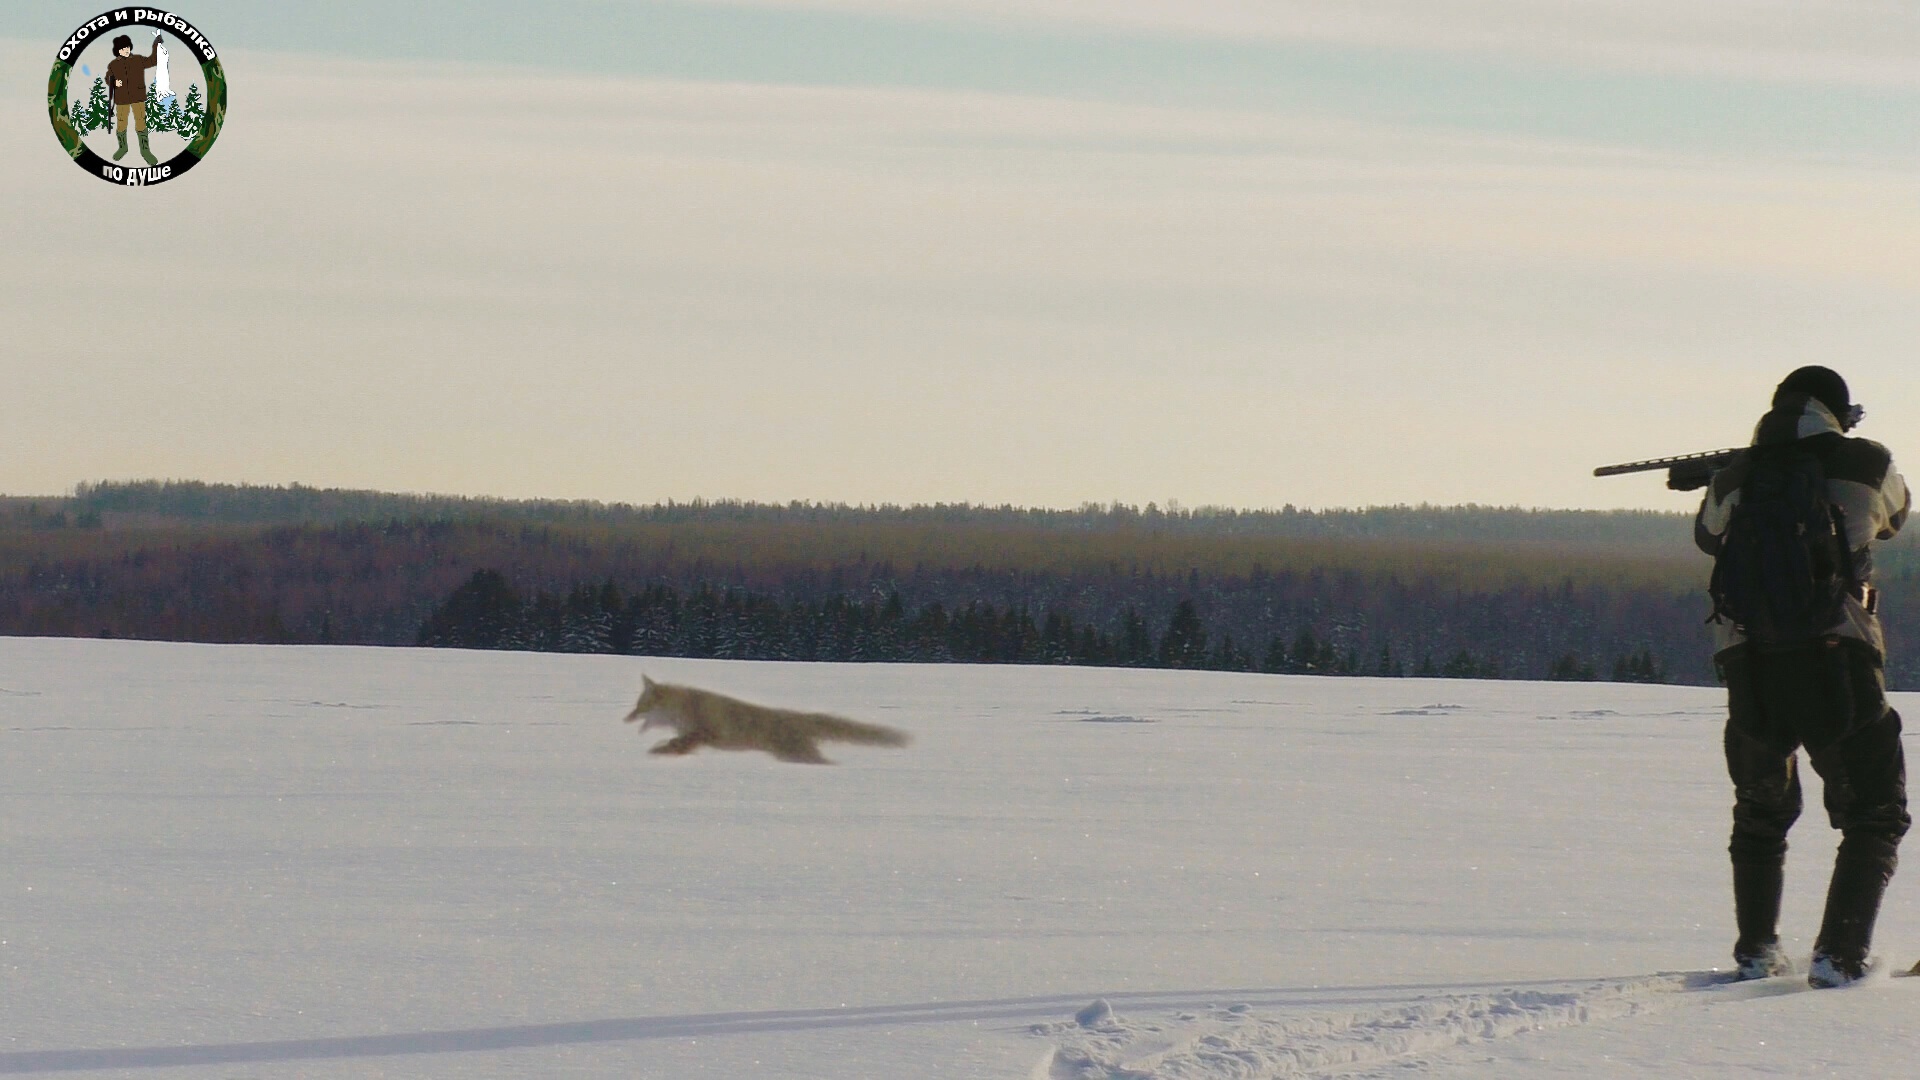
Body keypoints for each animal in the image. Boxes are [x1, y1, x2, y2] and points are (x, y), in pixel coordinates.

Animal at [618, 676, 910, 760]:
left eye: (641, 707)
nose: (625, 718)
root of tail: (798, 718)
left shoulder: (706, 732)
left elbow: (681, 744)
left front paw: (660, 752)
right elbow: (678, 744)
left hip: (794, 753)